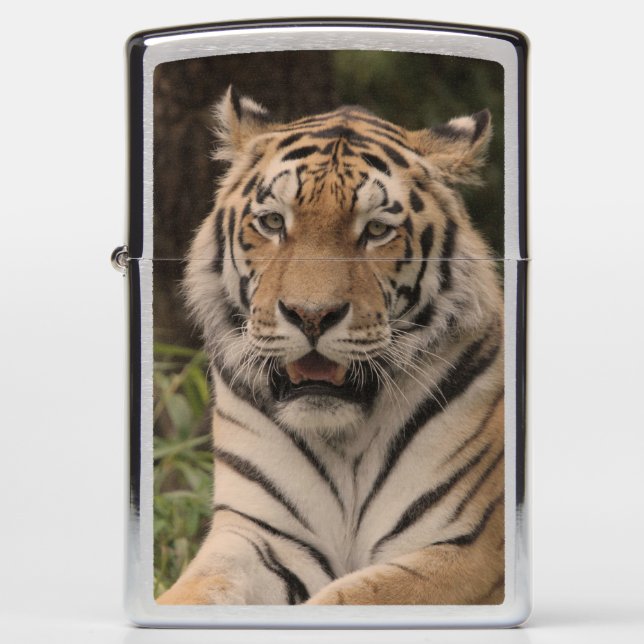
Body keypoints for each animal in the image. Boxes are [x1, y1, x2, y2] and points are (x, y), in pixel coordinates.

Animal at [157, 87, 505, 606]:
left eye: (377, 230)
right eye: (273, 222)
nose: (311, 315)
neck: (345, 440)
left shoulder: (465, 549)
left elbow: (347, 599)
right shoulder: (260, 535)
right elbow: (198, 591)